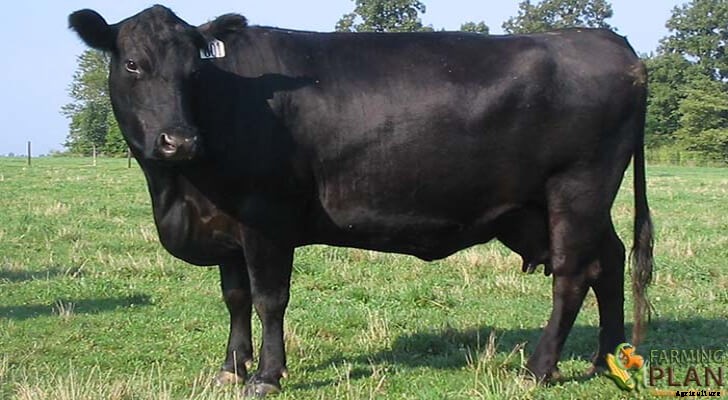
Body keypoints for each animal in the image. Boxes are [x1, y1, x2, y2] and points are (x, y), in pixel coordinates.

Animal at [69, 5, 654, 397]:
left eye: (194, 72)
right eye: (133, 65)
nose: (180, 139)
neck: (180, 191)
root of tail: (609, 42)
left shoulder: (266, 215)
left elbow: (268, 299)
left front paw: (267, 376)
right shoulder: (226, 224)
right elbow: (235, 298)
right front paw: (231, 368)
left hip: (578, 187)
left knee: (572, 274)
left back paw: (539, 368)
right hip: (549, 206)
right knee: (608, 261)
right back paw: (604, 360)